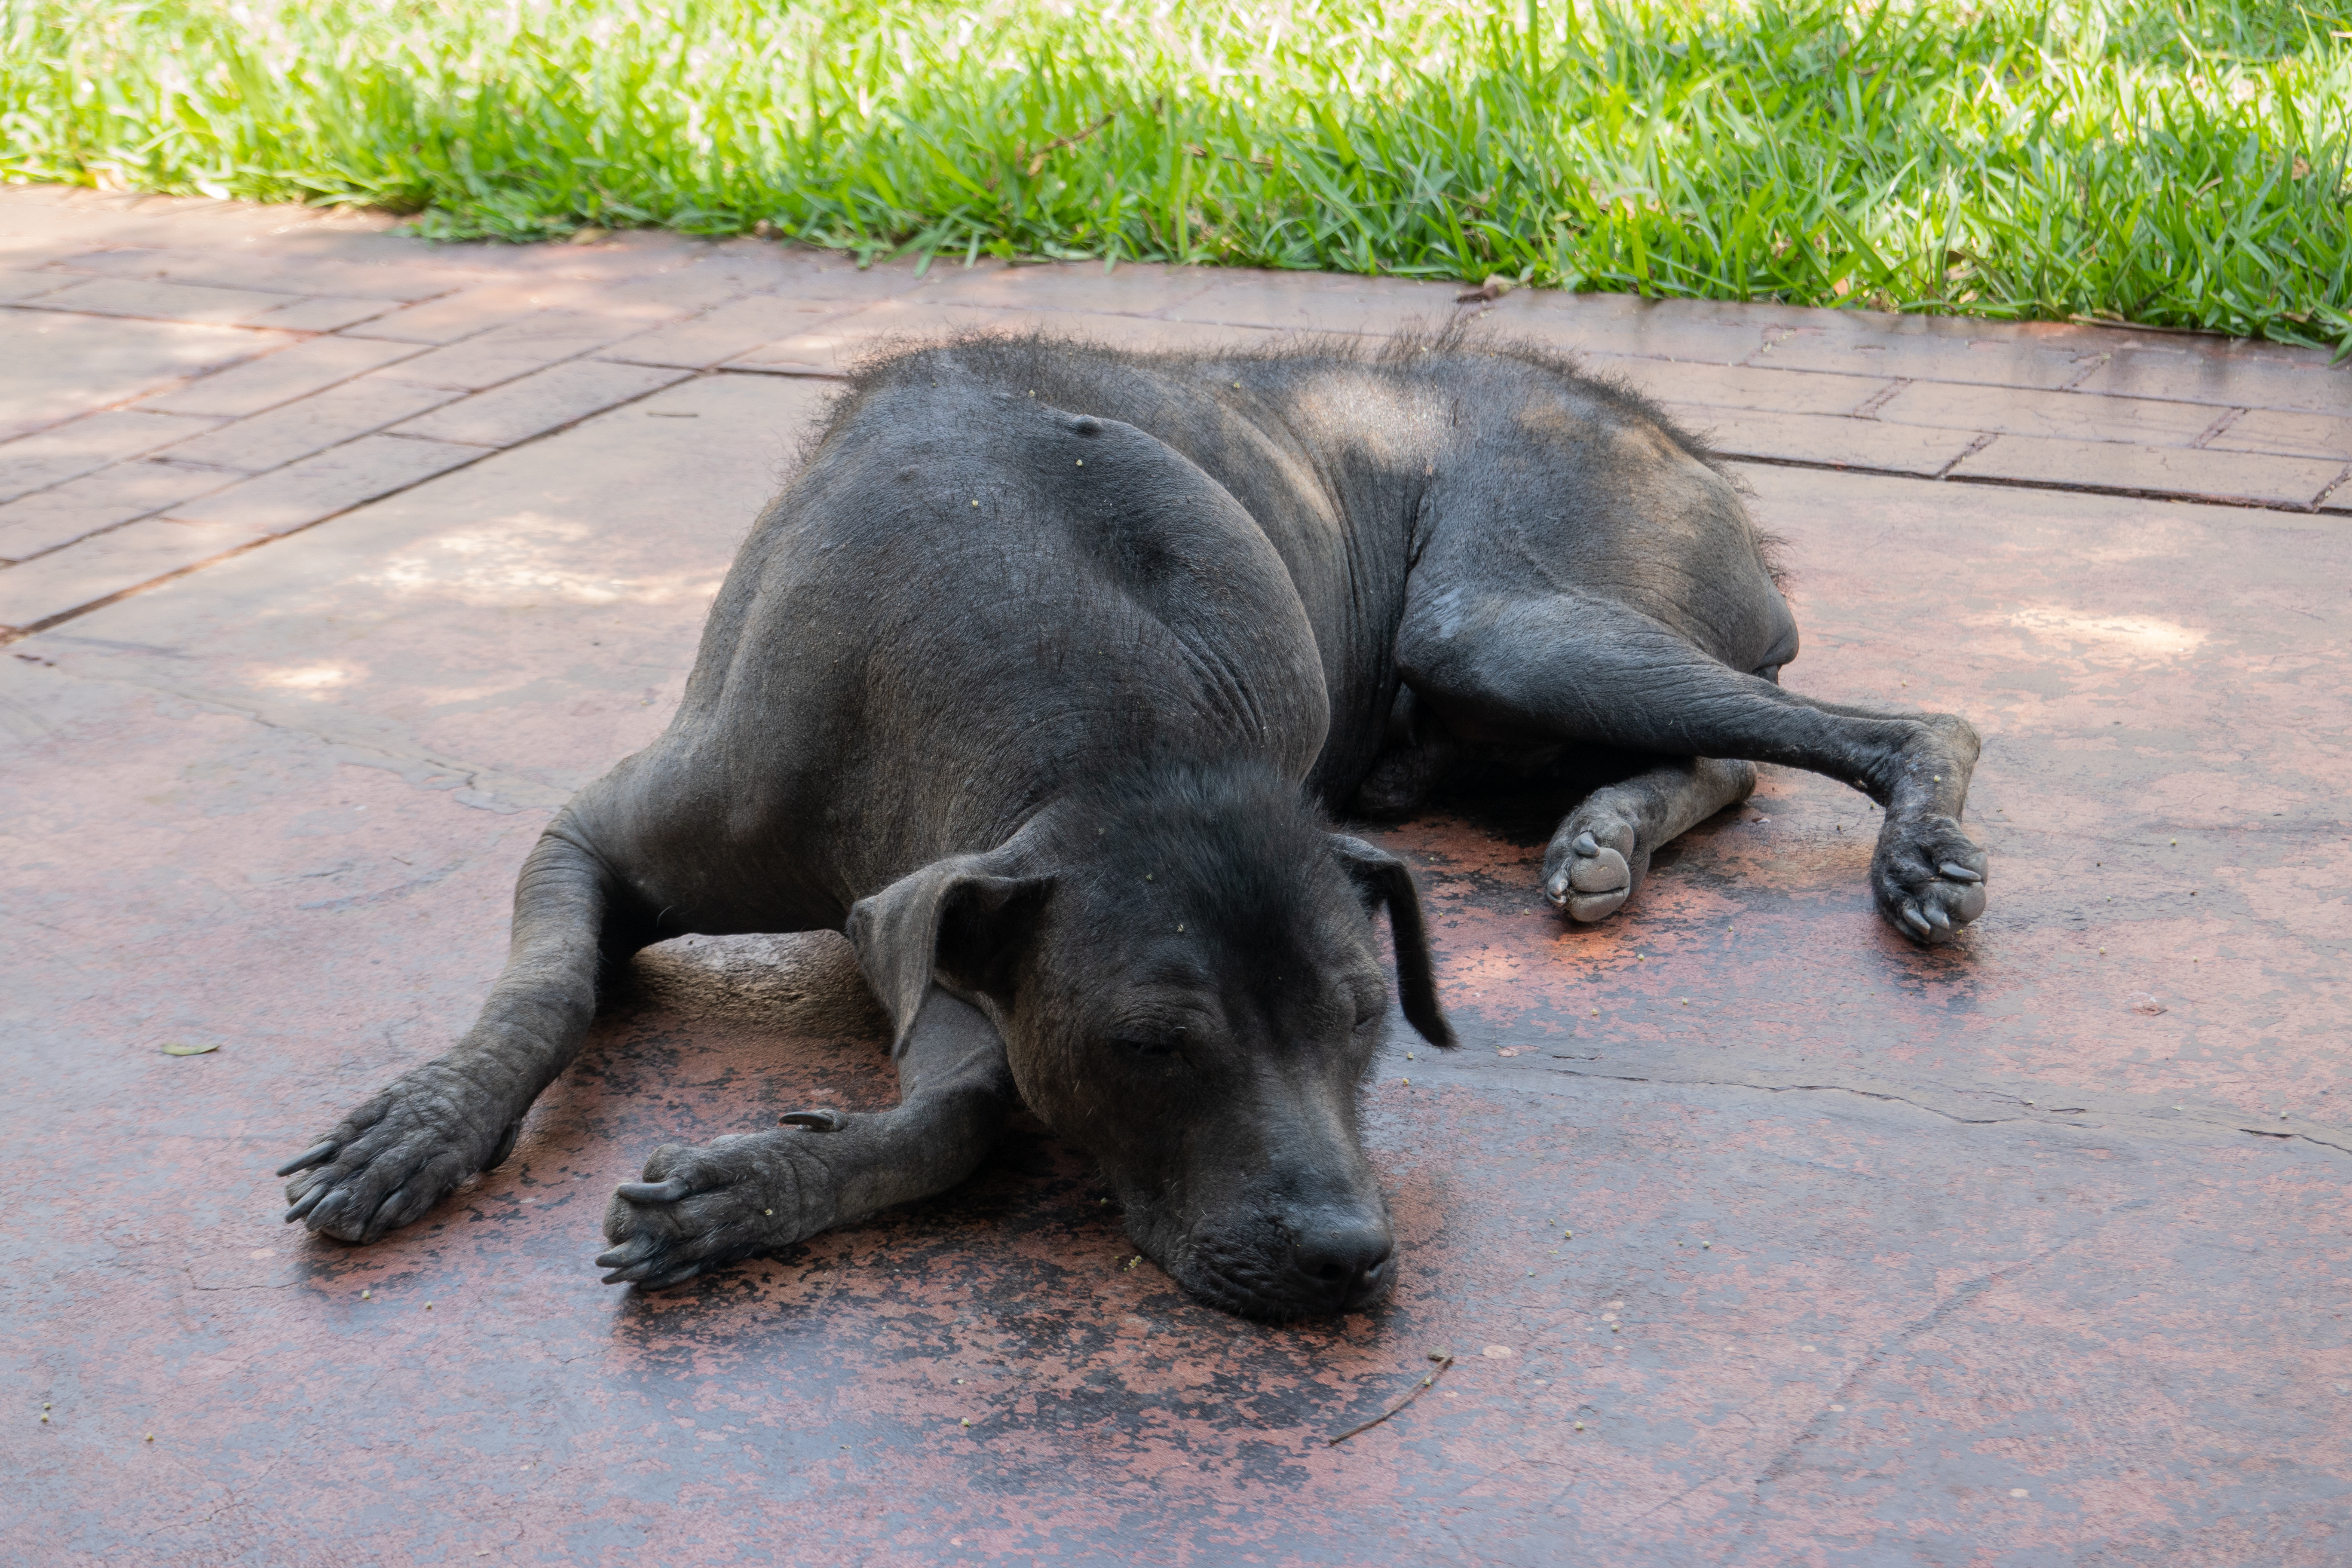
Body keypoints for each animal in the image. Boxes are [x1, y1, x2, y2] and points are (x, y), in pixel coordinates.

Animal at [270, 331, 1985, 1326]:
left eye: (1365, 1018)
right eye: (1154, 1046)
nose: (1350, 1257)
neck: (1098, 723)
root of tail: (1677, 439)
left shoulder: (953, 917)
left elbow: (967, 1112)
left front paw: (743, 1190)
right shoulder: (672, 848)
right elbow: (548, 988)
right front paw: (426, 1122)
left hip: (1505, 622)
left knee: (1883, 728)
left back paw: (1874, 842)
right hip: (1487, 677)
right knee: (1730, 755)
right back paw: (1608, 833)